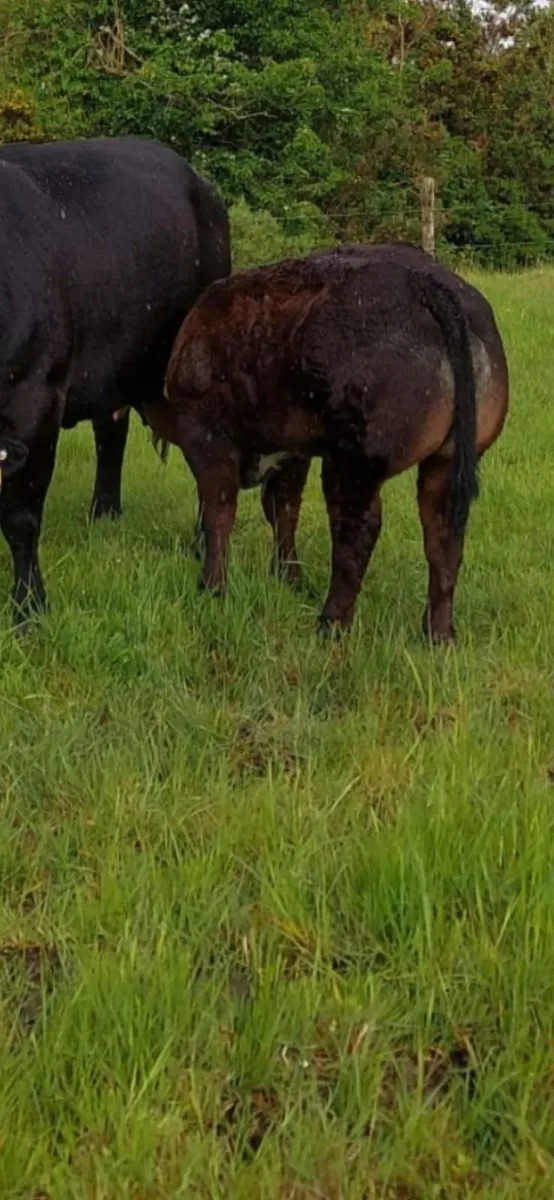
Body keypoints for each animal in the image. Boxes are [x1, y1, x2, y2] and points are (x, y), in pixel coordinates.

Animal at [0, 136, 230, 623]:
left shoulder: (36, 400)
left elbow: (20, 516)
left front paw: (29, 608)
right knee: (111, 431)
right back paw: (104, 513)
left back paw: (201, 544)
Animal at [146, 243, 508, 642]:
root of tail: (427, 283)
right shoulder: (291, 451)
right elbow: (282, 509)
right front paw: (288, 578)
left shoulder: (207, 437)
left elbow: (219, 511)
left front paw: (212, 588)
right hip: (446, 460)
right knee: (443, 537)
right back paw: (437, 635)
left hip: (352, 461)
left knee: (356, 531)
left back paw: (331, 623)